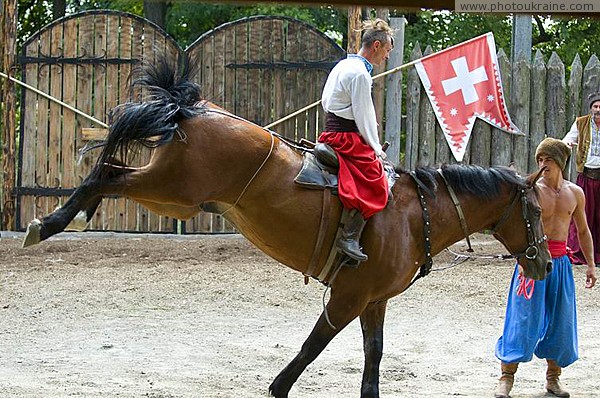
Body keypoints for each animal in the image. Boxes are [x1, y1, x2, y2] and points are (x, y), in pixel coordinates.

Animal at [21, 53, 552, 398]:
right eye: (537, 212)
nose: (545, 263)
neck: (414, 211)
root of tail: (195, 108)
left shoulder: (373, 301)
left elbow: (374, 357)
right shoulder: (348, 297)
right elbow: (314, 345)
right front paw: (279, 387)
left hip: (175, 196)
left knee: (110, 172)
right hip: (174, 191)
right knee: (107, 175)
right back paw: (50, 223)